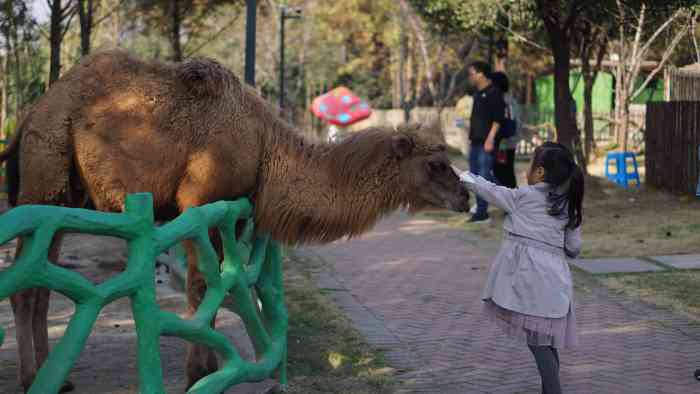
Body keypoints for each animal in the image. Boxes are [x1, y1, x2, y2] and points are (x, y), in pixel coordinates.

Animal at [0, 50, 470, 390]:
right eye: (436, 165)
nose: (465, 197)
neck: (264, 144)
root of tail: (30, 114)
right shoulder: (199, 201)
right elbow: (202, 283)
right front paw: (200, 373)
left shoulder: (229, 209)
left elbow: (219, 280)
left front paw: (211, 368)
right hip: (45, 171)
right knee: (27, 282)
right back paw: (32, 378)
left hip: (68, 193)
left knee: (42, 281)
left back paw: (56, 379)